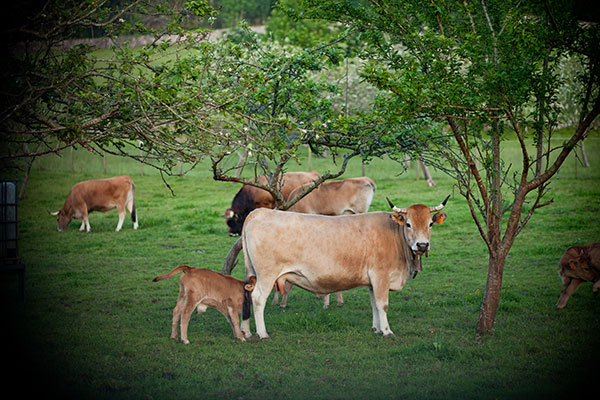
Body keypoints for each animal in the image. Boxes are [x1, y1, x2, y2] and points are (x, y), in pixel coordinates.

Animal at [241, 194, 448, 338]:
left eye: (430, 224)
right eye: (408, 224)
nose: (422, 245)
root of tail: (260, 212)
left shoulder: (373, 281)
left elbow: (374, 304)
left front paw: (376, 328)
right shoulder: (381, 276)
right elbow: (383, 304)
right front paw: (387, 331)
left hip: (253, 273)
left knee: (247, 296)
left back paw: (246, 332)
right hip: (266, 275)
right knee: (258, 298)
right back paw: (263, 333)